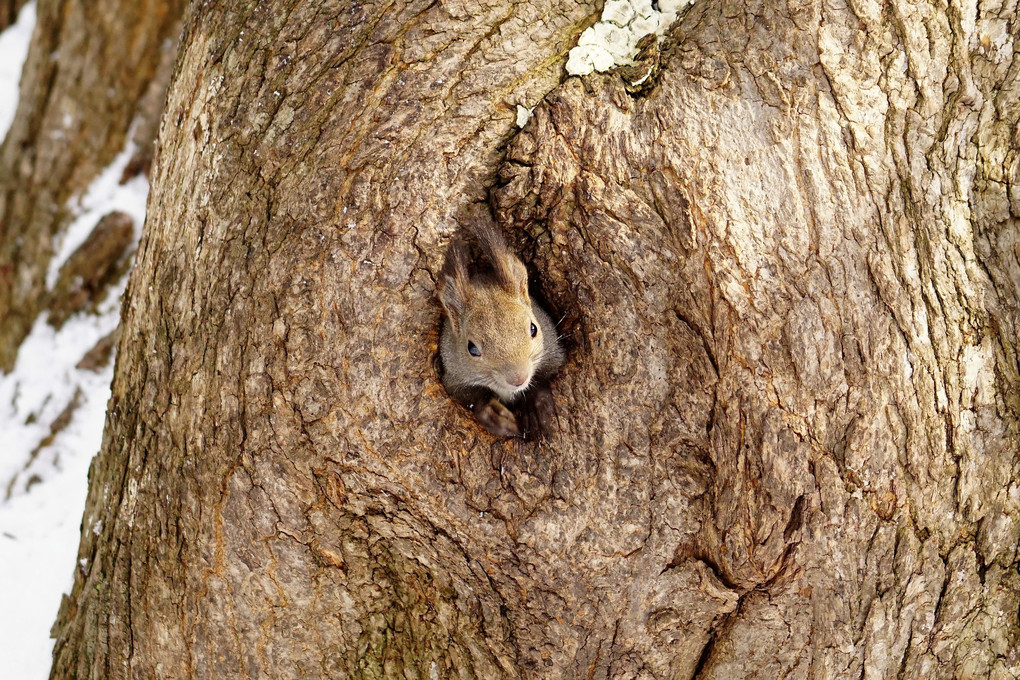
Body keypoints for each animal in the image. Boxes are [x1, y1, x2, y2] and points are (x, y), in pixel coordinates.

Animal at [436, 221, 567, 438]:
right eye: (472, 348)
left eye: (533, 329)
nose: (518, 379)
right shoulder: (454, 377)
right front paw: (493, 414)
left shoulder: (553, 352)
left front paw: (536, 405)